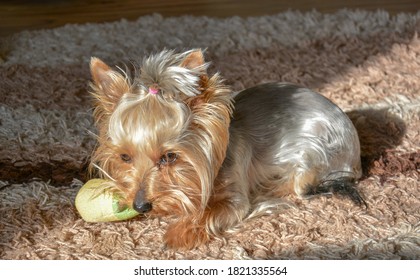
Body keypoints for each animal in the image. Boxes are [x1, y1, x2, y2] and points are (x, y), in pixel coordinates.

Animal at [88, 49, 364, 248]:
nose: (140, 206)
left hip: (314, 153)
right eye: (125, 157)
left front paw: (179, 233)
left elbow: (211, 212)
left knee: (301, 183)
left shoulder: (235, 198)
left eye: (170, 157)